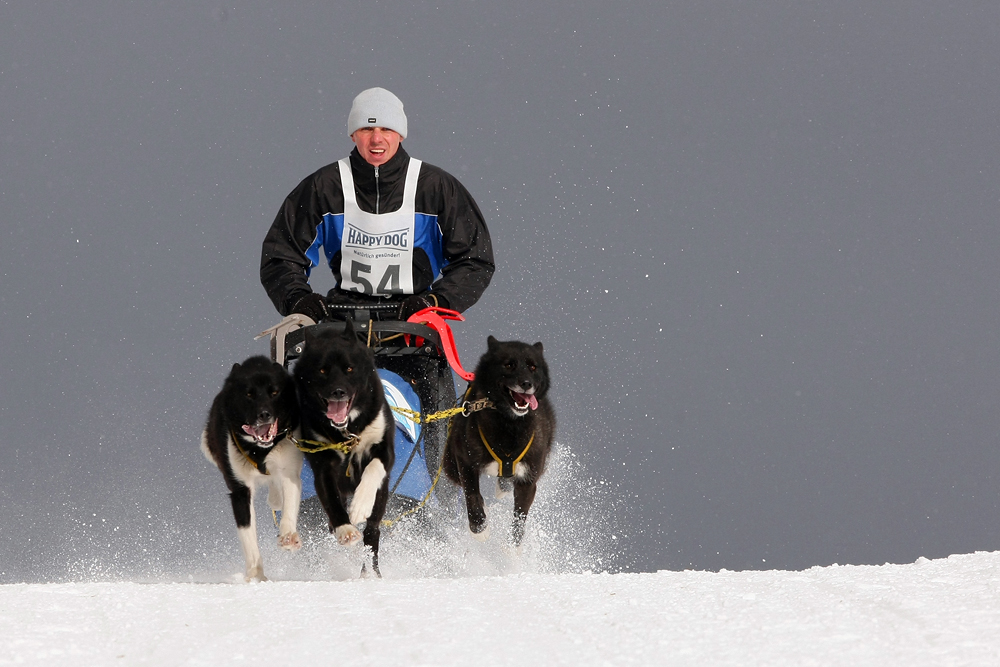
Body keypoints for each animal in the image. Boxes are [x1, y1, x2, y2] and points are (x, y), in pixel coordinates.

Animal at [199, 358, 300, 580]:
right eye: (249, 394)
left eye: (274, 392)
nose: (264, 414)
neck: (259, 450)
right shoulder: (240, 490)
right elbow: (248, 536)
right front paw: (256, 576)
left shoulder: (289, 472)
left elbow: (289, 506)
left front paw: (288, 536)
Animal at [292, 320, 392, 576]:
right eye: (322, 370)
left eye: (349, 368)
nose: (338, 391)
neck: (347, 431)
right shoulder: (322, 463)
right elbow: (332, 500)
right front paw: (345, 528)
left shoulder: (384, 449)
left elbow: (374, 469)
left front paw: (359, 506)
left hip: (382, 499)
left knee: (372, 532)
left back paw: (370, 572)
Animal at [444, 336, 556, 544]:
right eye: (509, 365)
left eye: (533, 366)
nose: (526, 383)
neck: (509, 424)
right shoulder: (465, 462)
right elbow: (472, 495)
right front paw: (479, 528)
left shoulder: (528, 479)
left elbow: (520, 517)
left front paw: (513, 548)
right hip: (450, 466)